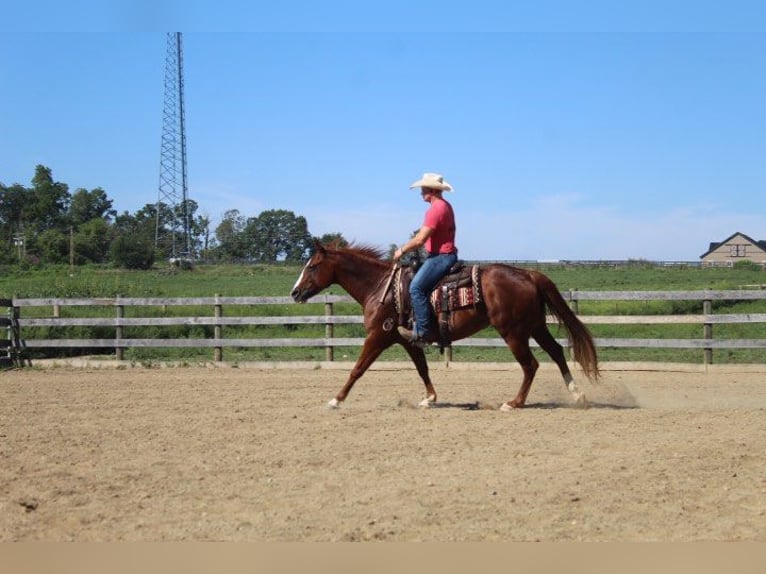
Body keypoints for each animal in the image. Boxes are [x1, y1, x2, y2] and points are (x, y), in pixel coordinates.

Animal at [290, 242, 600, 410]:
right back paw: (578, 394)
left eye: (312, 266)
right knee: (557, 352)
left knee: (531, 365)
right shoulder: (407, 339)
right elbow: (422, 368)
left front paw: (335, 400)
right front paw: (429, 398)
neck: (380, 287)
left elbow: (357, 369)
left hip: (513, 332)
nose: (294, 293)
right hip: (534, 326)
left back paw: (514, 403)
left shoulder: (378, 336)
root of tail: (528, 273)